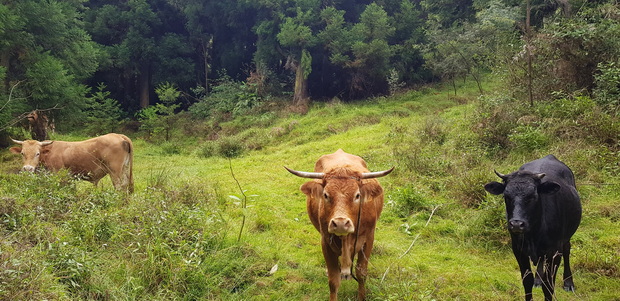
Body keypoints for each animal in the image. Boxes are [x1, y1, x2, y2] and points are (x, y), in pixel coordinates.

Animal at [286, 149, 392, 300]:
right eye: (325, 195)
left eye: (357, 195)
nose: (341, 223)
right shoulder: (326, 241)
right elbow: (333, 280)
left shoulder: (369, 238)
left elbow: (361, 273)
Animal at [484, 155, 580, 300]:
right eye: (506, 196)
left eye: (533, 196)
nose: (516, 224)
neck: (534, 233)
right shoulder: (518, 250)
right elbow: (527, 281)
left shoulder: (554, 252)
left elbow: (548, 285)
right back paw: (538, 280)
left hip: (566, 238)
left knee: (567, 250)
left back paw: (568, 282)